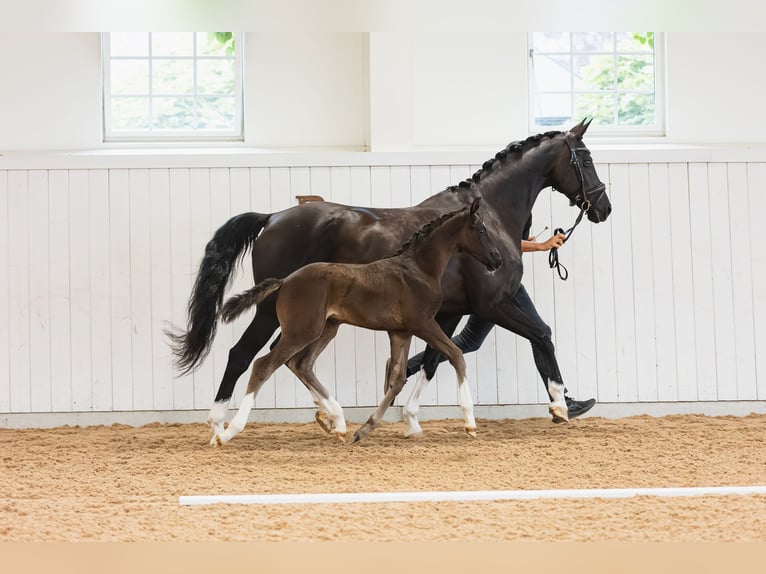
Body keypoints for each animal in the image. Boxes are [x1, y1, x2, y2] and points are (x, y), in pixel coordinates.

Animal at [212, 198, 502, 445]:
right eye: (481, 229)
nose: (497, 259)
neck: (418, 269)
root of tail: (285, 281)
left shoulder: (400, 332)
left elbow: (398, 378)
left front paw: (364, 430)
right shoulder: (423, 323)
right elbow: (456, 355)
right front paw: (470, 423)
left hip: (326, 329)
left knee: (300, 363)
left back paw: (338, 423)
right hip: (302, 331)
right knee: (263, 364)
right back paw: (226, 432)